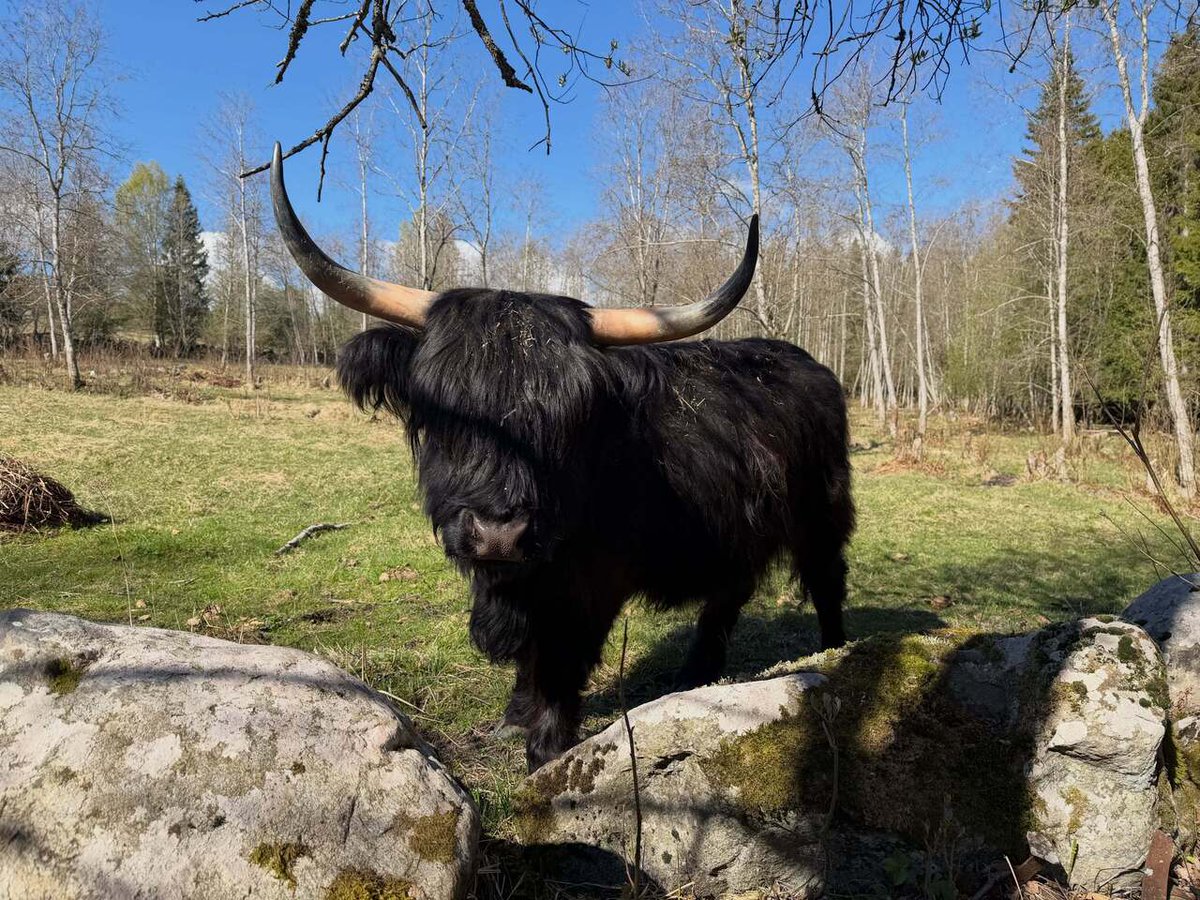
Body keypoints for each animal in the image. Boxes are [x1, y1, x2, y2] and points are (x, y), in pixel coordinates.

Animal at [270, 144, 854, 771]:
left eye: (570, 418)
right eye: (443, 411)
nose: (498, 533)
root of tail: (807, 363)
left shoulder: (593, 582)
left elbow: (561, 660)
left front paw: (546, 750)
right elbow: (531, 656)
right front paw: (511, 718)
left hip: (822, 514)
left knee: (826, 582)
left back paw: (835, 655)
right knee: (729, 594)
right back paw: (693, 676)